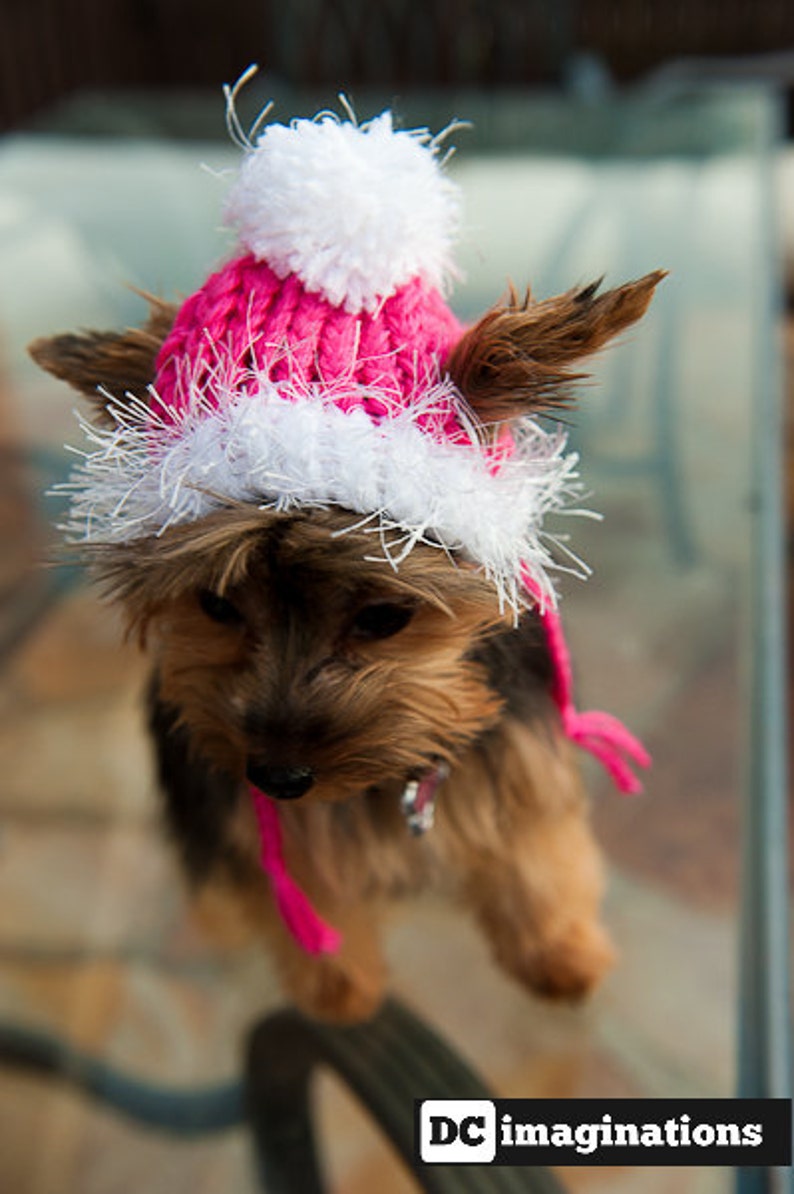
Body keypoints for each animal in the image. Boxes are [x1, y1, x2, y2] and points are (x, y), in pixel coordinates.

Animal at [31, 97, 659, 1022]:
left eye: (386, 617)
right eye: (216, 606)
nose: (279, 774)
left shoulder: (520, 759)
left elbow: (536, 855)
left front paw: (559, 954)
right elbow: (306, 891)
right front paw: (340, 994)